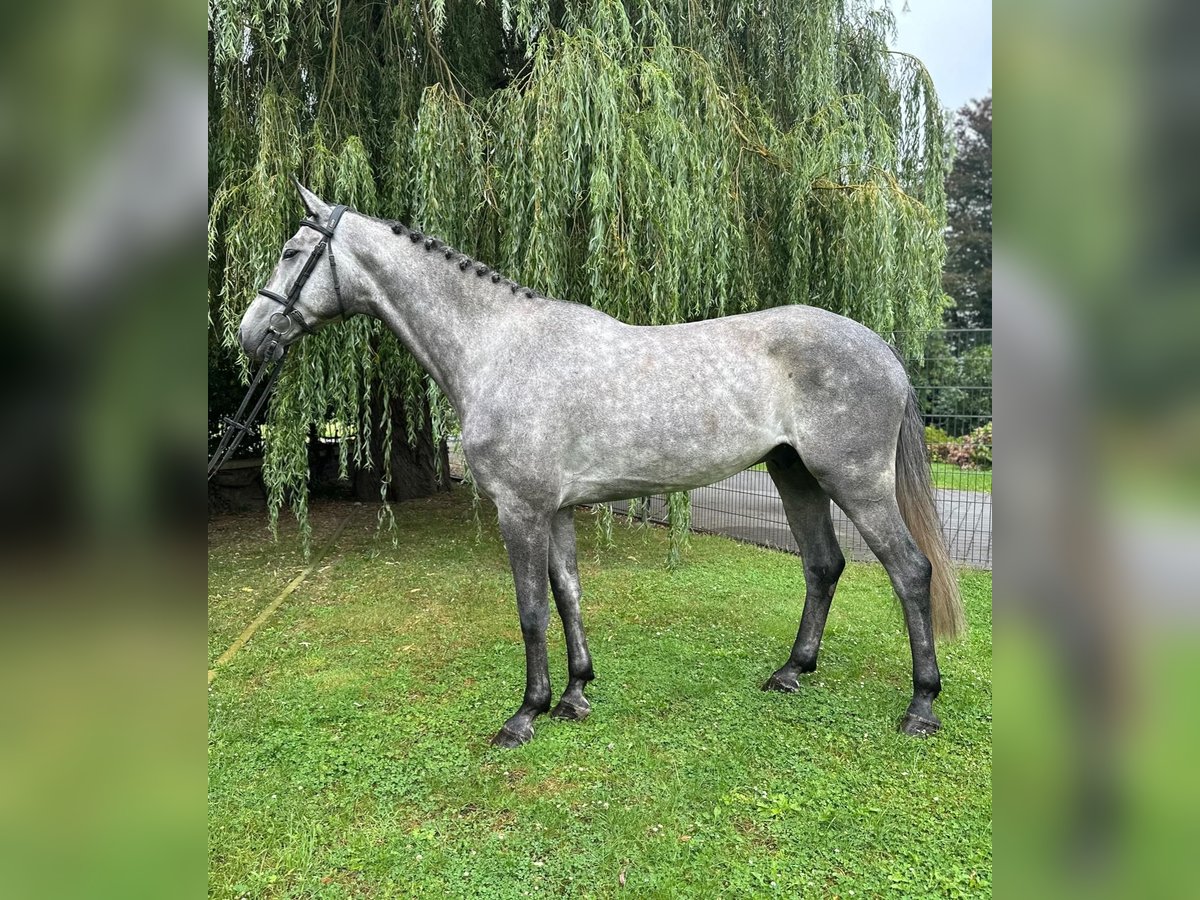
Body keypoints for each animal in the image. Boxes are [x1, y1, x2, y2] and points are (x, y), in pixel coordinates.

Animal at [236, 183, 964, 748]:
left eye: (292, 252)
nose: (249, 337)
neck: (499, 348)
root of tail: (883, 349)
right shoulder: (554, 510)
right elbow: (567, 595)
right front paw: (574, 695)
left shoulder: (521, 511)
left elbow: (531, 608)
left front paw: (524, 715)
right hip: (796, 475)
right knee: (823, 565)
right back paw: (790, 673)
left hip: (855, 482)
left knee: (909, 571)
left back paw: (921, 706)